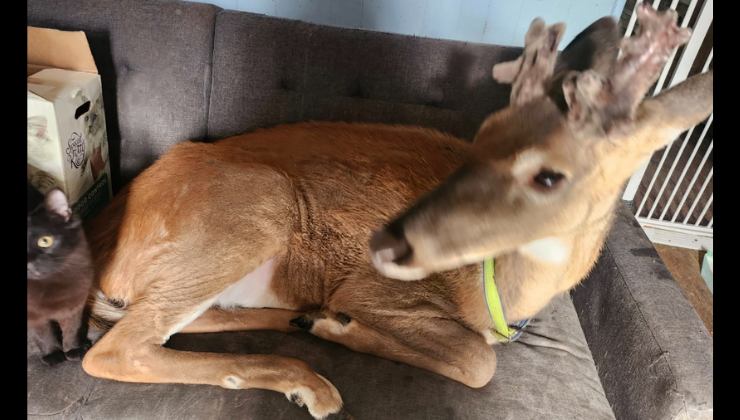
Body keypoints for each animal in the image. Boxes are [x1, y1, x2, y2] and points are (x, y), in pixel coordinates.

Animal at [70, 3, 712, 419]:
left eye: (550, 174)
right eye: (483, 135)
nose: (404, 241)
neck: (507, 289)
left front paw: (329, 324)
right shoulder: (374, 288)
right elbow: (479, 359)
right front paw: (343, 328)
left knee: (170, 325)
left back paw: (298, 324)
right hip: (259, 205)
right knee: (117, 348)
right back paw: (312, 379)